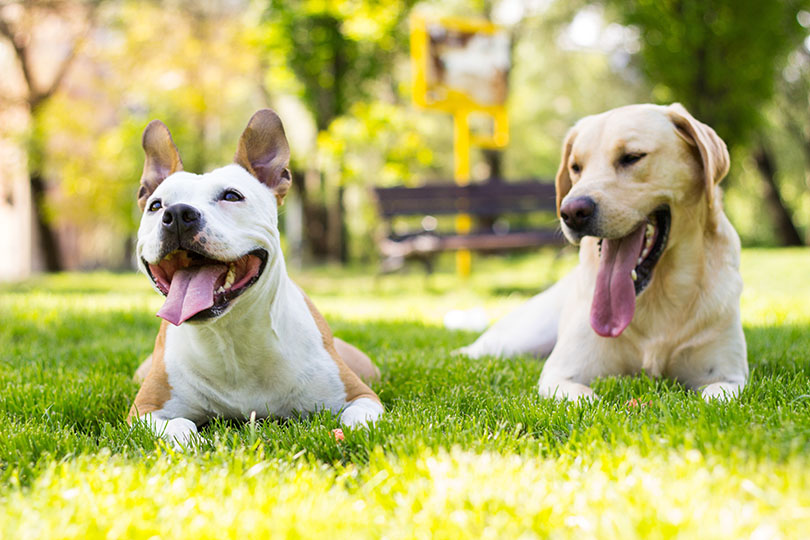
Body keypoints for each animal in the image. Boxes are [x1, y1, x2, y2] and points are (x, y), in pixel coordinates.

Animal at [129, 109, 382, 448]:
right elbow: (180, 427)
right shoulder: (145, 410)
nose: (179, 214)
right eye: (156, 205)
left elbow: (358, 420)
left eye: (231, 196)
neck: (230, 334)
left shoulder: (361, 396)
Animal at [458, 104, 748, 400]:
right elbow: (585, 398)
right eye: (575, 167)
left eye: (631, 157)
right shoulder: (560, 374)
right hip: (520, 337)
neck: (658, 296)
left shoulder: (728, 378)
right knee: (474, 351)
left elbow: (712, 398)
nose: (571, 212)